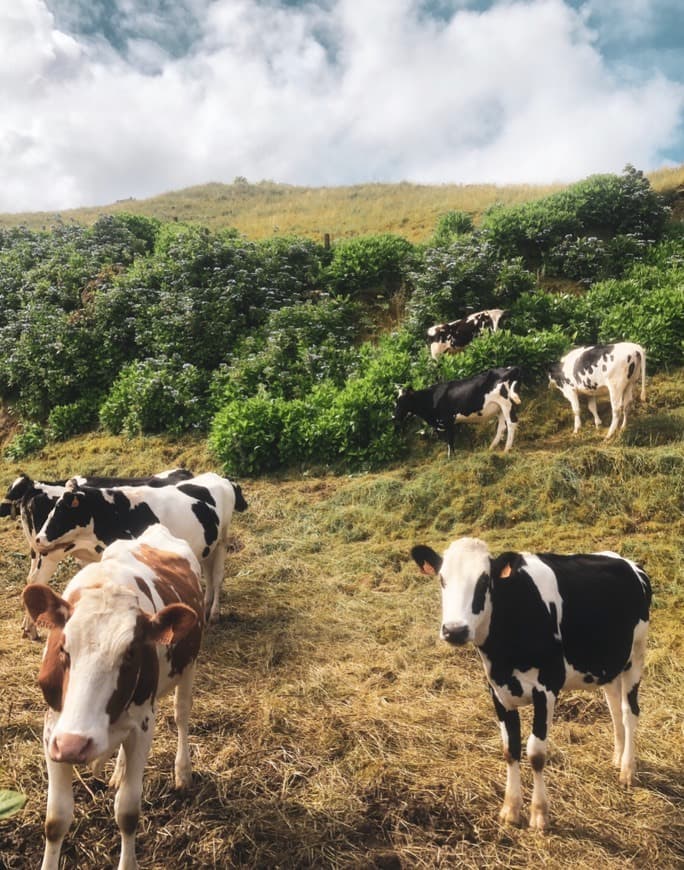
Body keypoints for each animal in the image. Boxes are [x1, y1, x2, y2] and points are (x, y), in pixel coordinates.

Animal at [1, 470, 194, 640]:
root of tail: (34, 486)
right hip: (49, 552)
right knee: (36, 581)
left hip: (39, 552)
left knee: (31, 581)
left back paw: (28, 629)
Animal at [24, 524, 206, 870]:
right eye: (63, 647)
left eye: (131, 653)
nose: (75, 745)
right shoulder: (53, 730)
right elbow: (55, 820)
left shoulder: (143, 727)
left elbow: (128, 813)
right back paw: (118, 771)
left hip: (188, 666)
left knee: (182, 714)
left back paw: (183, 771)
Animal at [34, 474, 248, 632]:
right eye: (52, 509)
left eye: (62, 511)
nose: (38, 539)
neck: (115, 513)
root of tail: (221, 478)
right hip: (207, 547)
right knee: (209, 577)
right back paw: (205, 607)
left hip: (222, 541)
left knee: (217, 577)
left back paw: (214, 614)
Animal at [392, 364, 520, 456]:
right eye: (396, 400)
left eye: (403, 401)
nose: (394, 417)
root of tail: (510, 368)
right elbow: (450, 441)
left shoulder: (448, 420)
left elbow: (450, 441)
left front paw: (451, 458)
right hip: (499, 408)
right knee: (502, 426)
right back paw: (491, 447)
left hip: (506, 402)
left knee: (511, 423)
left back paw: (506, 450)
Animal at [412, 540, 652, 832]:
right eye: (442, 579)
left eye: (485, 581)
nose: (455, 630)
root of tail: (626, 562)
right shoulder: (497, 691)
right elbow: (510, 749)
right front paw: (510, 809)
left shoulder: (546, 689)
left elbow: (536, 752)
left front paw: (539, 815)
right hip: (609, 664)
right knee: (614, 707)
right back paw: (618, 758)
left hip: (636, 654)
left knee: (630, 712)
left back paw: (628, 770)